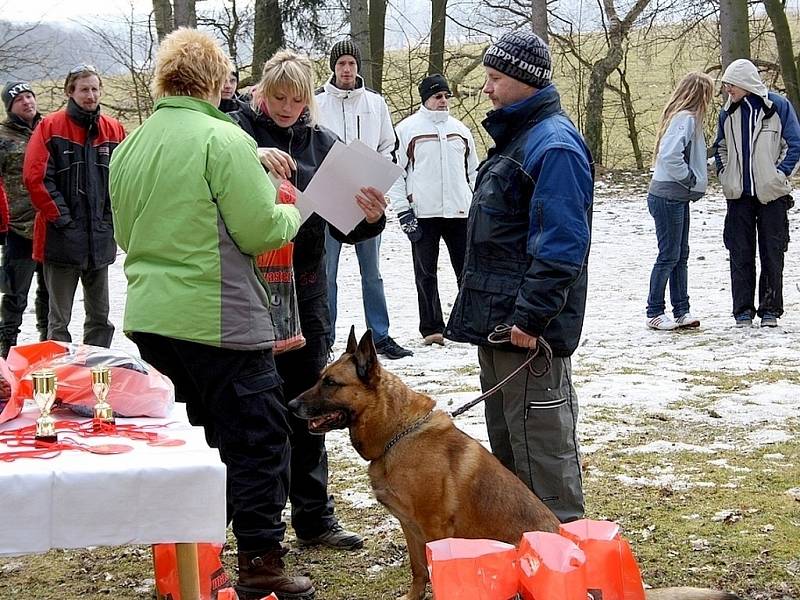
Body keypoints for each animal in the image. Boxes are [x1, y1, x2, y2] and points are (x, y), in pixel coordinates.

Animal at [290, 328, 744, 600]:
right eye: (320, 377)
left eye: (330, 383)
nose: (290, 404)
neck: (398, 433)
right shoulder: (411, 527)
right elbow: (419, 572)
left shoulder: (434, 530)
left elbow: (433, 574)